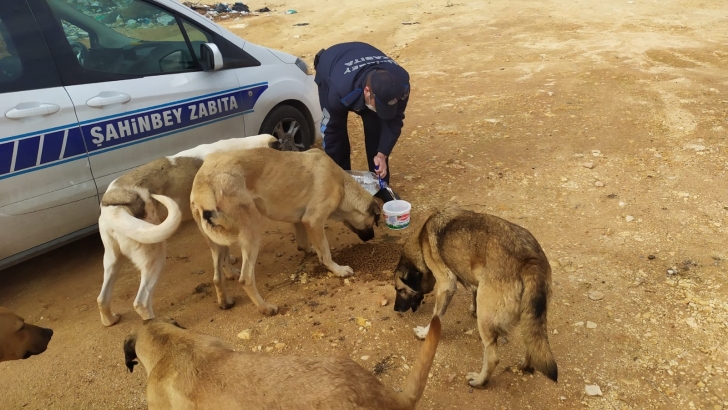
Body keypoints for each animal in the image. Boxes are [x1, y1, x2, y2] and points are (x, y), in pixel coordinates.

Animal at [96, 135, 278, 326]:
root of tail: (112, 205)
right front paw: (231, 271)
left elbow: (224, 255)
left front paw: (229, 271)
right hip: (155, 254)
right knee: (141, 302)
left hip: (112, 261)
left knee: (102, 298)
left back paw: (110, 319)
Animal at [189, 148, 382, 318]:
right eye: (373, 223)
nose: (372, 237)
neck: (341, 182)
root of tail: (204, 182)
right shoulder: (314, 221)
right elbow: (326, 253)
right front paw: (338, 270)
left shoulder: (300, 221)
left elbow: (304, 242)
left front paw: (312, 250)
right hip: (252, 230)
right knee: (246, 279)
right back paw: (265, 308)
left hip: (215, 243)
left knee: (217, 277)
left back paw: (225, 302)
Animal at [392, 207, 556, 390]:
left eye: (399, 290)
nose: (395, 308)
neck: (422, 241)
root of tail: (530, 260)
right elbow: (472, 291)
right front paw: (472, 309)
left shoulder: (446, 285)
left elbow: (436, 316)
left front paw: (425, 332)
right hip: (529, 314)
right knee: (531, 340)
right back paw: (525, 366)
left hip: (485, 318)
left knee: (492, 358)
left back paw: (479, 381)